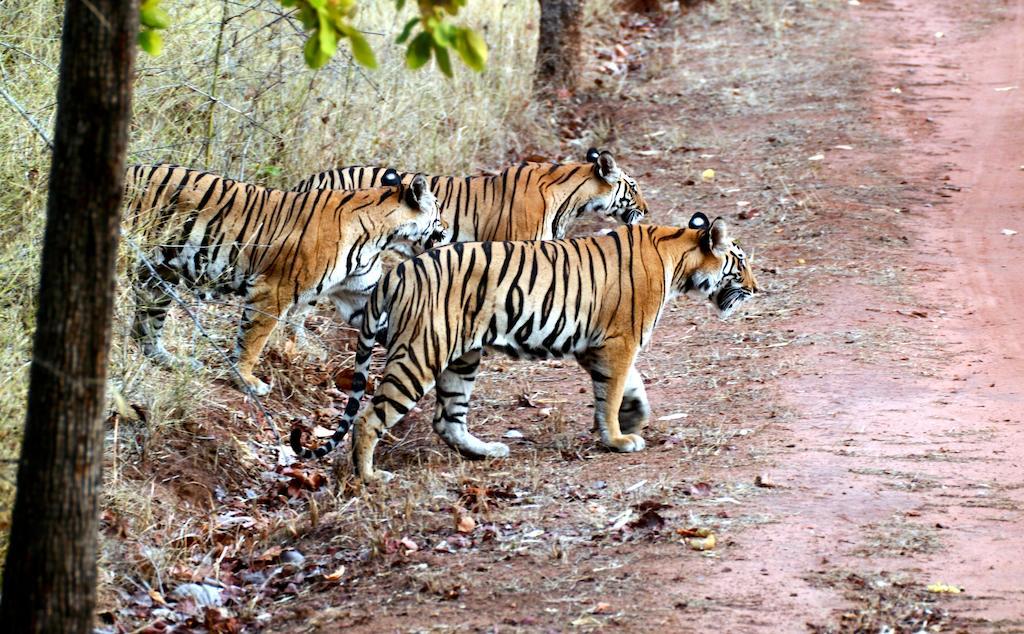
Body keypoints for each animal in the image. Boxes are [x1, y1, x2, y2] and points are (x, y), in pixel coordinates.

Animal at [121, 160, 442, 395]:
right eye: (438, 214)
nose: (446, 233)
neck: (381, 236)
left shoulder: (360, 297)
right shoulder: (273, 290)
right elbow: (253, 340)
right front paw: (247, 381)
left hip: (159, 278)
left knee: (145, 330)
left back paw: (171, 361)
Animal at [282, 150, 647, 348]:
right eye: (633, 187)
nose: (646, 208)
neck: (574, 201)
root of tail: (305, 182)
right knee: (296, 313)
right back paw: (306, 349)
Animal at [290, 213, 761, 481]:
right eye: (739, 262)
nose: (757, 289)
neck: (678, 258)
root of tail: (398, 272)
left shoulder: (597, 345)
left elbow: (628, 385)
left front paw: (634, 416)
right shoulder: (620, 340)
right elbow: (612, 392)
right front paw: (617, 438)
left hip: (462, 357)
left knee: (447, 420)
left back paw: (487, 451)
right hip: (421, 354)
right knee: (370, 418)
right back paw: (370, 477)